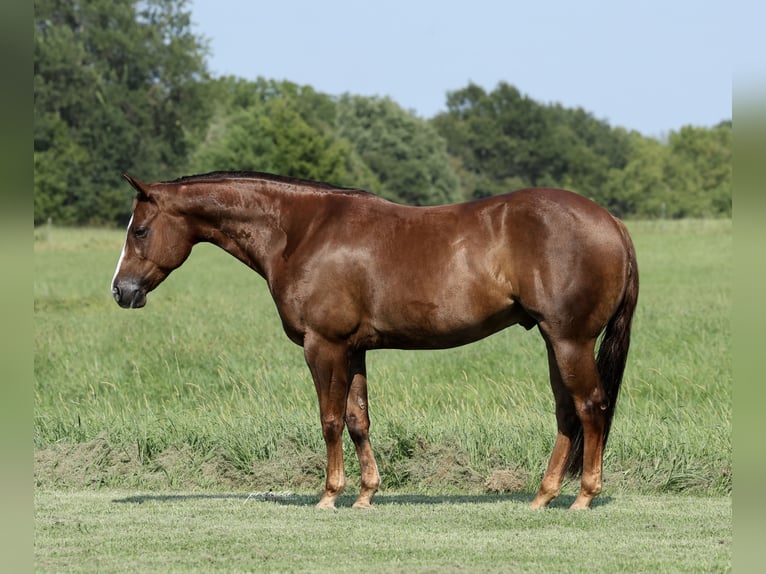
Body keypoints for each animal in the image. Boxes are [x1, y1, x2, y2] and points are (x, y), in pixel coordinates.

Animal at [111, 170, 638, 510]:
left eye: (140, 230)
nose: (122, 291)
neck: (302, 231)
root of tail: (611, 222)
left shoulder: (323, 346)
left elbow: (329, 420)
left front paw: (329, 495)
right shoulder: (354, 349)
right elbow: (358, 419)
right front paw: (366, 493)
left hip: (569, 341)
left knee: (591, 406)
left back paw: (583, 497)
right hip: (555, 342)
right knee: (567, 412)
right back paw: (542, 496)